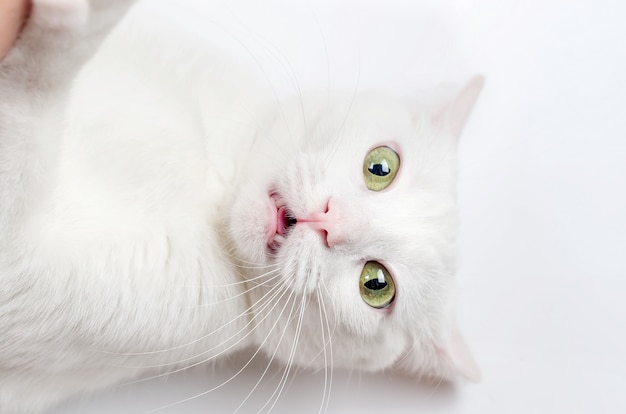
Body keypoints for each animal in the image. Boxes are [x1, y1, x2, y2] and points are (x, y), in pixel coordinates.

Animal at [0, 1, 482, 412]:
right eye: (381, 166)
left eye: (377, 285)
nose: (330, 220)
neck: (217, 191)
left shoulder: (26, 279)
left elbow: (30, 108)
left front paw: (76, 27)